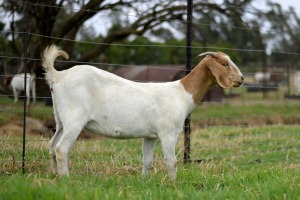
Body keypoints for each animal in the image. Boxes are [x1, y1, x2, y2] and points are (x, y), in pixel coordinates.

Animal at [41, 45, 244, 180]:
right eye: (225, 63)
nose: (241, 78)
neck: (180, 93)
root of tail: (58, 75)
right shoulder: (167, 133)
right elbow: (171, 160)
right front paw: (174, 183)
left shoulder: (150, 136)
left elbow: (147, 160)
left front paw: (144, 181)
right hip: (75, 118)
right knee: (61, 148)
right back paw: (66, 179)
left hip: (60, 119)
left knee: (52, 145)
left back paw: (55, 175)